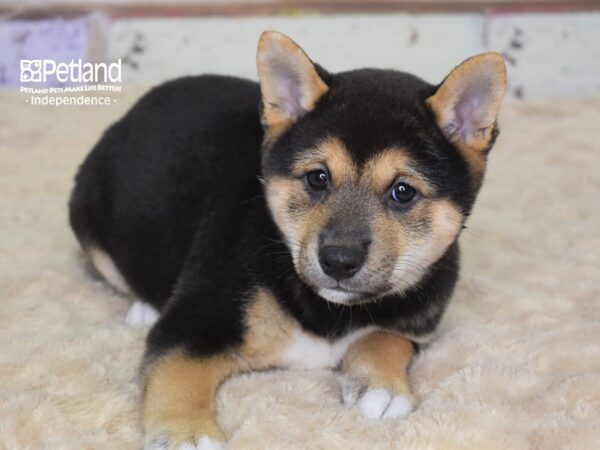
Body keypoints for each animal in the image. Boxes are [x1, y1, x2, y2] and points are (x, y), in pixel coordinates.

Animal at [69, 29, 506, 448]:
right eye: (317, 178)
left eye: (403, 192)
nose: (338, 261)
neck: (331, 311)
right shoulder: (190, 325)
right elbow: (177, 377)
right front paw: (186, 434)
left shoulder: (417, 322)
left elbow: (385, 338)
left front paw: (383, 385)